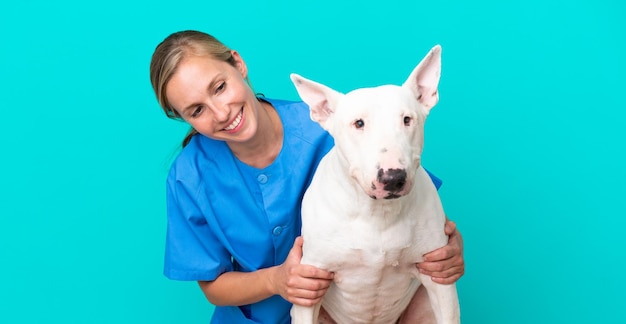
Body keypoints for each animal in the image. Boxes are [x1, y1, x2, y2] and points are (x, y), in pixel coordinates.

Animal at [288, 46, 458, 324]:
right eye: (359, 123)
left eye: (407, 119)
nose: (393, 178)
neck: (378, 214)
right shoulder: (308, 288)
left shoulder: (439, 281)